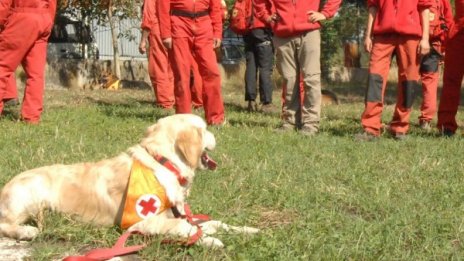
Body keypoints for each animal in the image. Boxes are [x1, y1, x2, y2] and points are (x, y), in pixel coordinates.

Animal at [0, 113, 258, 246]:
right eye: (204, 129)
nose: (217, 135)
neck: (163, 163)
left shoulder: (177, 213)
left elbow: (214, 223)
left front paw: (246, 229)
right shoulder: (141, 222)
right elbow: (185, 227)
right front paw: (210, 240)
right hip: (32, 192)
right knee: (5, 225)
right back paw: (26, 232)